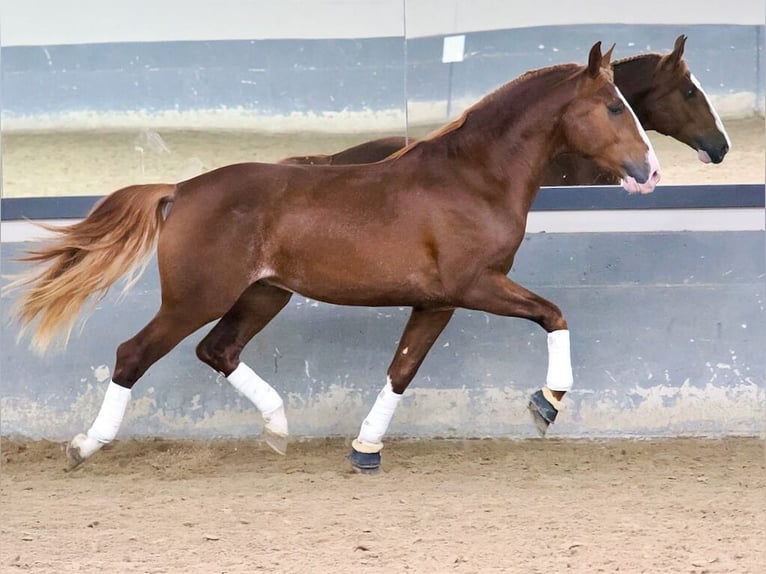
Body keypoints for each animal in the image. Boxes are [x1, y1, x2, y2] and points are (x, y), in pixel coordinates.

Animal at [3, 42, 664, 474]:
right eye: (613, 106)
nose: (651, 171)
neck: (472, 178)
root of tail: (181, 189)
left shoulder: (436, 300)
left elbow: (402, 369)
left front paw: (365, 450)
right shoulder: (476, 284)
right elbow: (553, 314)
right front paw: (546, 405)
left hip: (263, 293)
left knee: (218, 350)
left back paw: (277, 429)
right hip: (197, 297)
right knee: (133, 355)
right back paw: (84, 446)